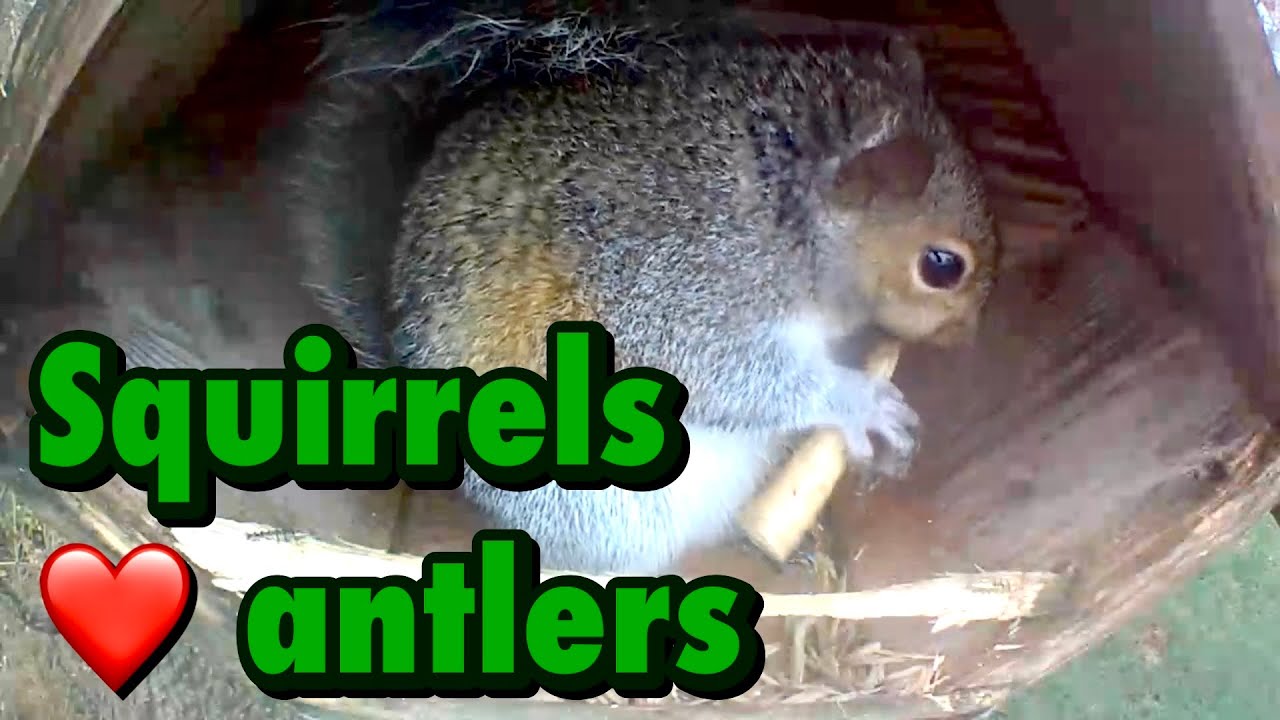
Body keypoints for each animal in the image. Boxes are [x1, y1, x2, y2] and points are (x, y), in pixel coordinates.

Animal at [282, 1, 1000, 574]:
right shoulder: (671, 282)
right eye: (943, 266)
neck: (783, 209)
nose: (967, 337)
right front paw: (859, 401)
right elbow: (729, 374)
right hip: (598, 509)